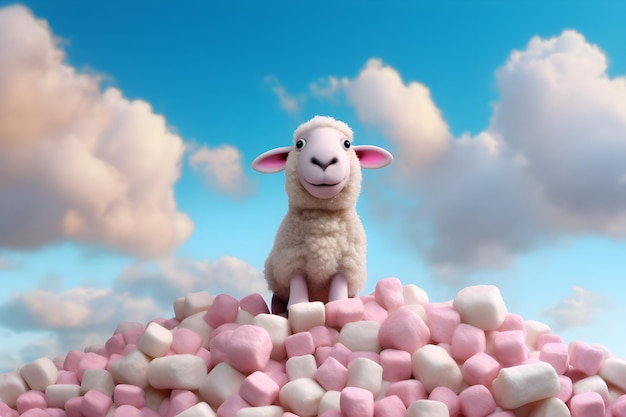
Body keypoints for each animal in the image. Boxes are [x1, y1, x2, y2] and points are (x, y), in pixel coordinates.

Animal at [250, 114, 390, 312]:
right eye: (299, 144)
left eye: (347, 144)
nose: (324, 161)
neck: (323, 219)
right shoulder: (293, 261)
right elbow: (298, 286)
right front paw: (299, 306)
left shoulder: (346, 263)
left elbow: (339, 289)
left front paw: (340, 307)